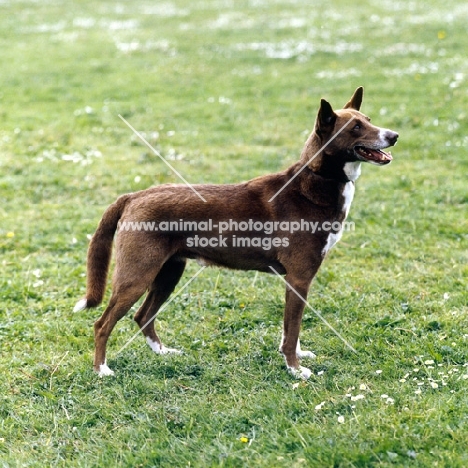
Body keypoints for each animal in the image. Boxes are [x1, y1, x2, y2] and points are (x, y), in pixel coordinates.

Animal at [74, 87, 398, 380]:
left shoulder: (295, 281)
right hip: (137, 275)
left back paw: (163, 353)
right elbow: (293, 328)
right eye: (356, 128)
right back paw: (102, 370)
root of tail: (134, 196)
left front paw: (294, 356)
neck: (315, 181)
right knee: (102, 324)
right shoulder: (299, 278)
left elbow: (289, 329)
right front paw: (295, 369)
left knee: (142, 316)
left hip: (169, 271)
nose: (394, 135)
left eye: (368, 120)